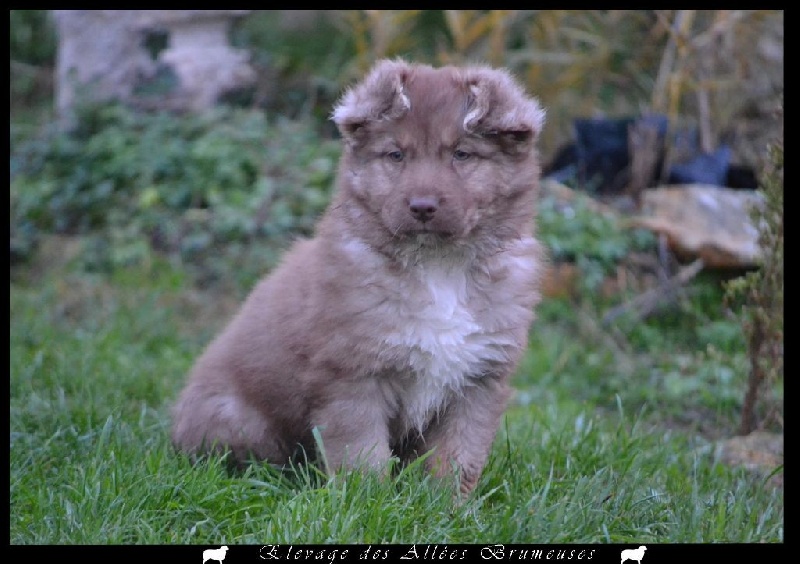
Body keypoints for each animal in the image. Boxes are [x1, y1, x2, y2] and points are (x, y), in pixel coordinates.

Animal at [172, 59, 548, 496]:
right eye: (396, 154)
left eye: (462, 154)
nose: (422, 207)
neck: (439, 268)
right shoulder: (352, 375)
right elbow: (362, 454)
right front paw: (368, 499)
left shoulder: (479, 379)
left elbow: (457, 456)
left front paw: (446, 503)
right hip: (237, 419)